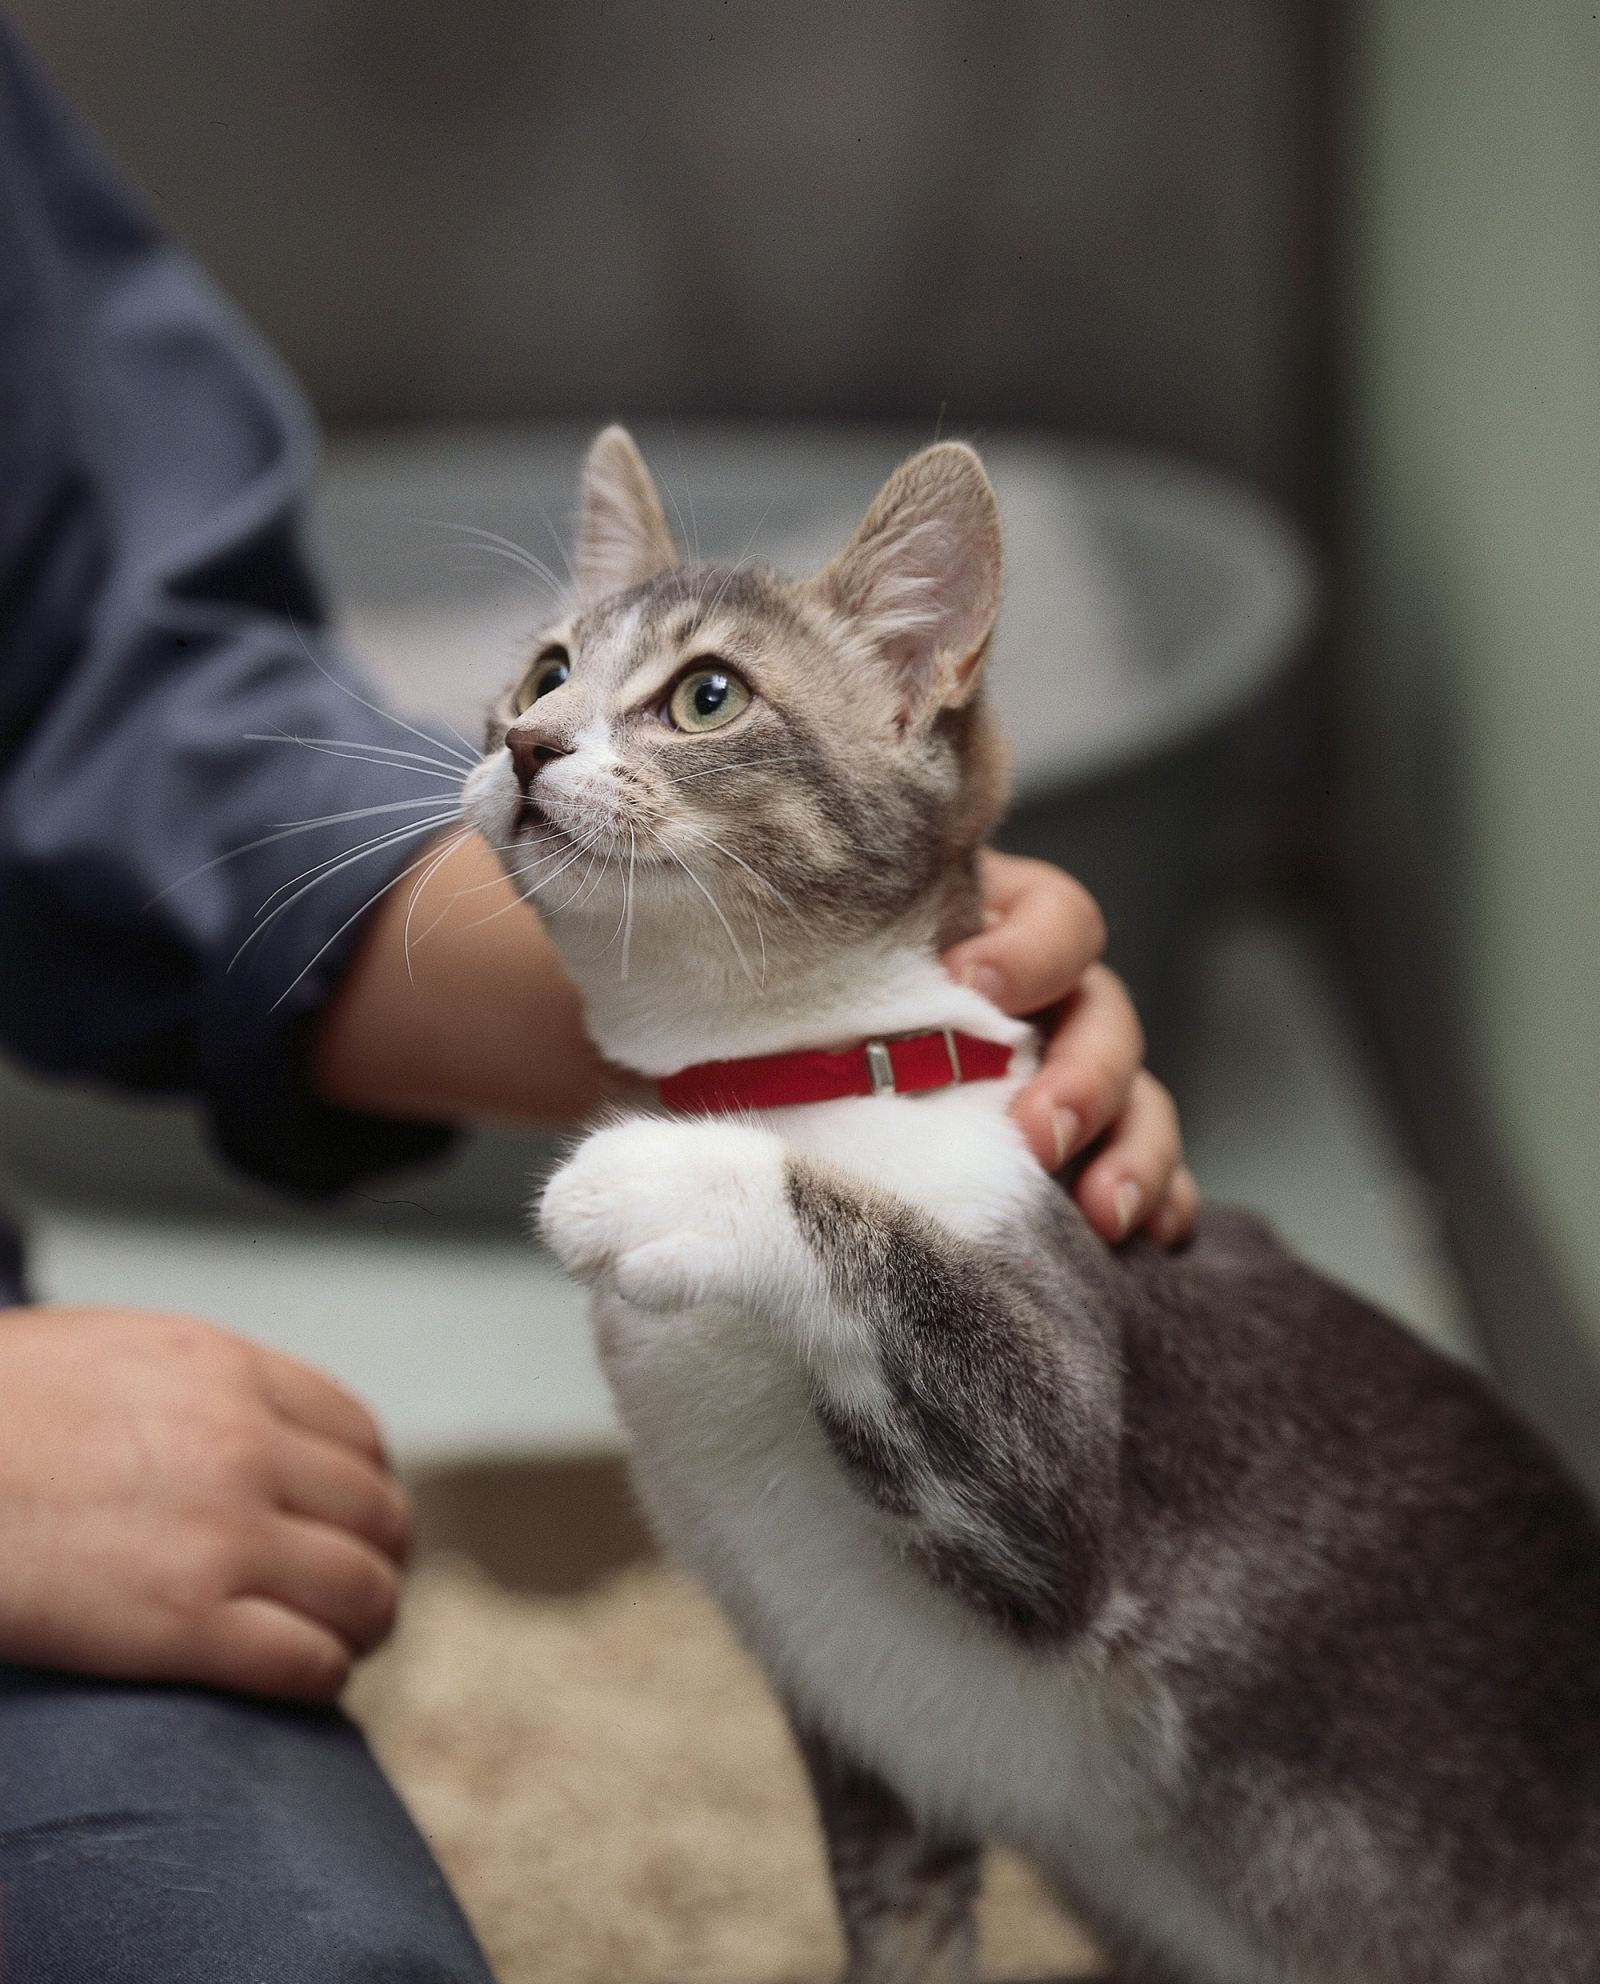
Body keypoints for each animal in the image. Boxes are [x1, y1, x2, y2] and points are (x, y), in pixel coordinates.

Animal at [456, 430, 1600, 1984]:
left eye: (707, 695)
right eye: (546, 669)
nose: (525, 744)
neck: (795, 1074)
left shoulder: (1053, 1483)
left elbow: (925, 1291)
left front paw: (661, 1177)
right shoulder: (869, 1750)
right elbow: (908, 1934)